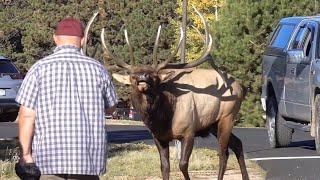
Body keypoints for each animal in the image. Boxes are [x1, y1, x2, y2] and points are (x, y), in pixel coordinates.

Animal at [85, 5, 250, 180]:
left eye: (154, 76)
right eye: (133, 77)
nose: (143, 78)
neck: (163, 119)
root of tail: (240, 87)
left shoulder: (189, 131)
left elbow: (183, 164)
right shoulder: (159, 137)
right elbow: (164, 166)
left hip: (227, 116)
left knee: (223, 153)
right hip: (212, 124)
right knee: (238, 144)